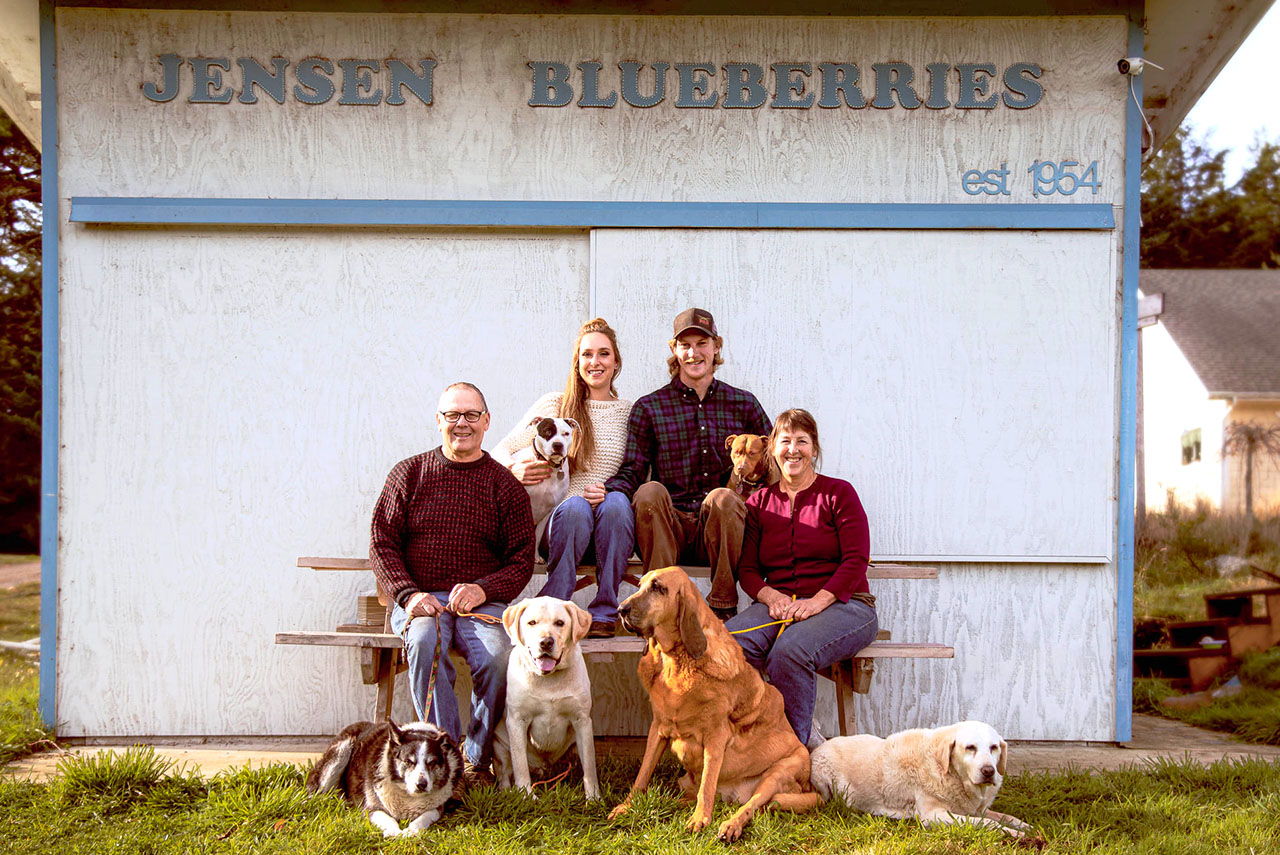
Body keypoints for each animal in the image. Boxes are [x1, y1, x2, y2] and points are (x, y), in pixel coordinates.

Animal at [494, 593, 604, 803]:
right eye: (532, 622)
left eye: (559, 623)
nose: (545, 642)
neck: (548, 680)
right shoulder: (517, 720)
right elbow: (520, 765)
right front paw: (526, 796)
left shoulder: (582, 721)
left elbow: (590, 766)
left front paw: (593, 797)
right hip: (499, 745)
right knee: (504, 773)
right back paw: (506, 792)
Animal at [509, 419, 581, 547]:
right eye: (547, 431)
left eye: (566, 434)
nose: (558, 445)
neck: (549, 465)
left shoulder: (549, 511)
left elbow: (537, 537)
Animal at [609, 568, 819, 839]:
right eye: (640, 584)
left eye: (657, 588)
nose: (620, 609)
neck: (676, 659)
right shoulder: (658, 729)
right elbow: (642, 774)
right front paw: (626, 807)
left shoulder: (715, 736)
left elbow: (707, 783)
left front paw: (700, 819)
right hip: (684, 782)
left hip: (779, 772)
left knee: (751, 805)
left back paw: (730, 825)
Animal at [814, 716, 1034, 839]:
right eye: (970, 747)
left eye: (994, 747)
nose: (989, 771)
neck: (950, 773)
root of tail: (820, 746)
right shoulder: (935, 815)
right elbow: (988, 823)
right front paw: (1015, 834)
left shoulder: (975, 810)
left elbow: (1006, 817)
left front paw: (1026, 826)